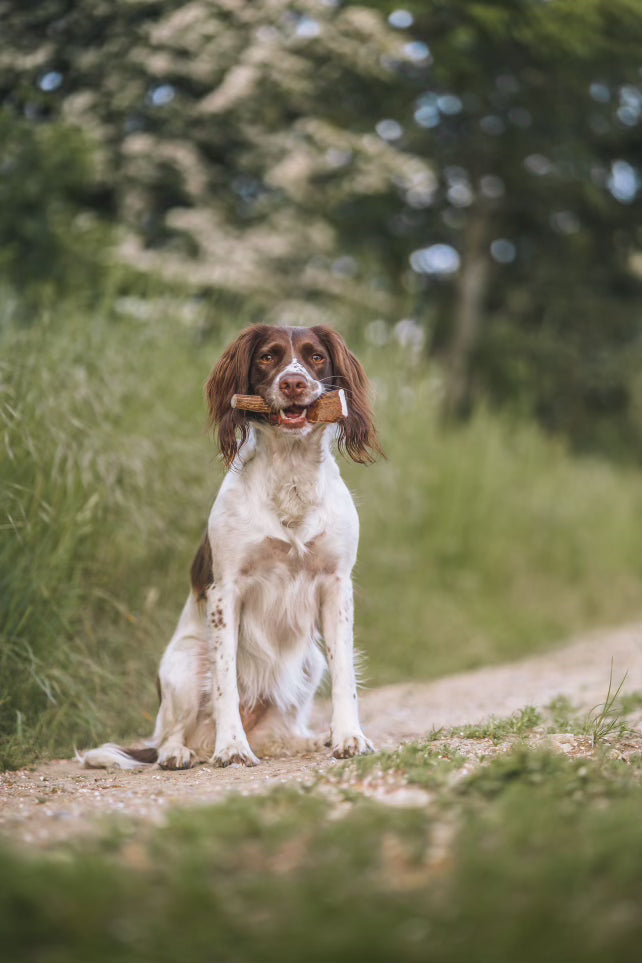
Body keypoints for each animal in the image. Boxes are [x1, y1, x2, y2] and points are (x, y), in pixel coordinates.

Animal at [80, 328, 380, 772]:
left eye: (317, 357)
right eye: (268, 357)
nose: (294, 383)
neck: (291, 474)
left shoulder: (336, 585)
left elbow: (346, 672)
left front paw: (348, 737)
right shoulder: (226, 591)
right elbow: (226, 682)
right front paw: (233, 748)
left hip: (310, 661)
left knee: (280, 731)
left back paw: (307, 740)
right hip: (183, 665)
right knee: (169, 734)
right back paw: (180, 753)